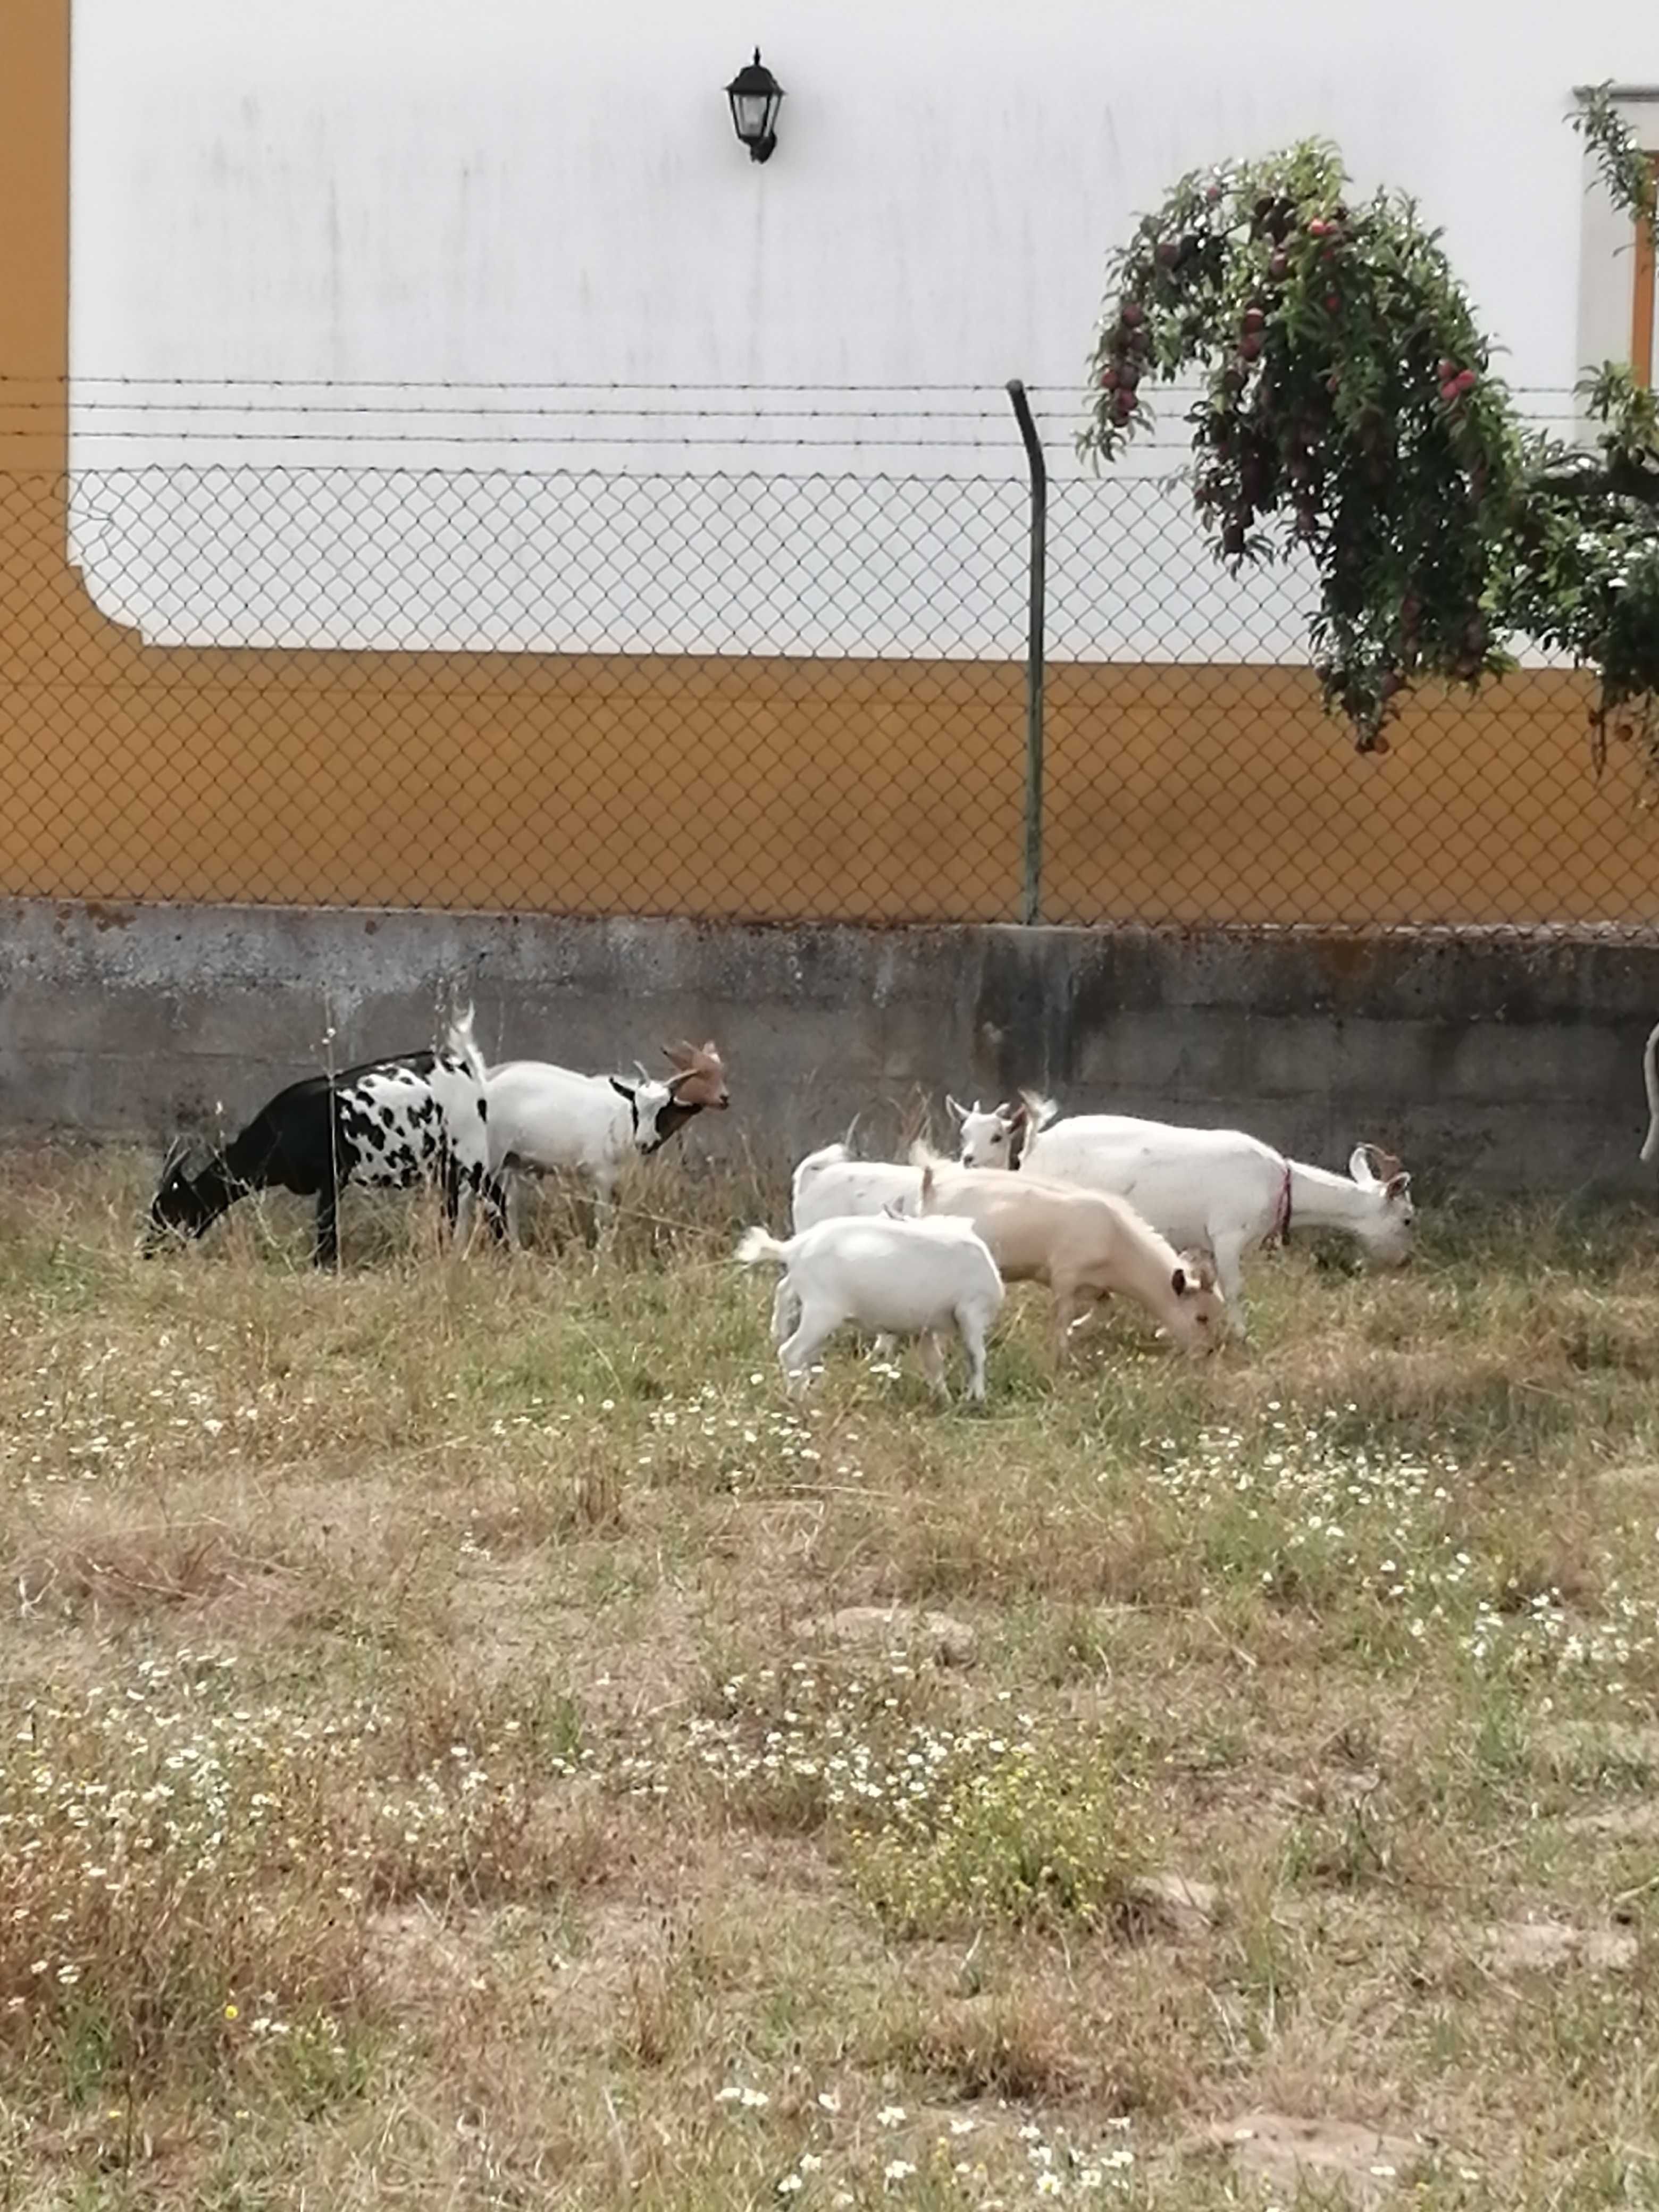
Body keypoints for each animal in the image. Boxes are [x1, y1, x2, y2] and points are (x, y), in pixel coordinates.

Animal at [146, 1013, 493, 1274]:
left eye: (171, 1214)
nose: (147, 1252)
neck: (282, 1127)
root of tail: (464, 1068)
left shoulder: (332, 1177)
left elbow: (327, 1227)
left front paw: (324, 1267)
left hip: (470, 1152)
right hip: (444, 1165)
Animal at [487, 1040, 734, 1247]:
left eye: (721, 1071)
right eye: (702, 1074)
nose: (725, 1099)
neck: (624, 1117)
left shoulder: (621, 1178)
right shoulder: (602, 1174)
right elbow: (603, 1219)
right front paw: (601, 1257)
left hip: (512, 1160)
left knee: (509, 1204)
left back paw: (516, 1250)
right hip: (491, 1157)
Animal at [739, 1194, 1000, 1398]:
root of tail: (793, 1249)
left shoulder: (923, 1327)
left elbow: (934, 1363)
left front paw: (944, 1399)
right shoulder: (972, 1311)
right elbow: (976, 1355)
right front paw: (976, 1397)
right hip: (823, 1311)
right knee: (791, 1352)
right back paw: (800, 1396)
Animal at [916, 1150, 1229, 1353]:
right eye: (1201, 1317)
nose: (1209, 1351)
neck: (1115, 1240)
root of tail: (932, 1189)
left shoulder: (1096, 1286)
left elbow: (1105, 1309)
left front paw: (1077, 1329)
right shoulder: (1064, 1277)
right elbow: (1062, 1316)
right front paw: (1062, 1350)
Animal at [946, 1088, 1415, 1327]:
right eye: (1409, 1218)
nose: (1406, 1263)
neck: (1280, 1184)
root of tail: (1038, 1144)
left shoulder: (1204, 1243)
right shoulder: (1228, 1233)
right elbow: (1236, 1288)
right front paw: (1241, 1335)